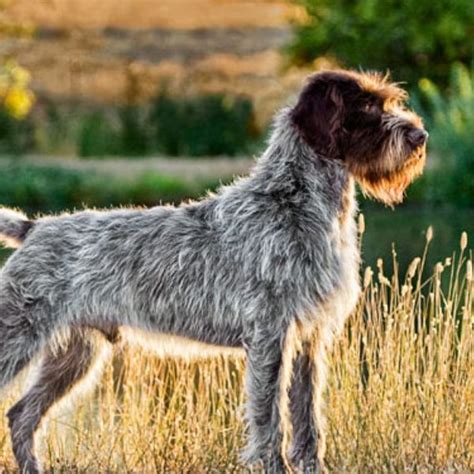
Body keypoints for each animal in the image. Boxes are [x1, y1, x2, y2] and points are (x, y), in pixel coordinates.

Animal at [0, 70, 428, 474]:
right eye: (368, 106)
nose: (420, 135)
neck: (295, 201)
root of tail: (34, 228)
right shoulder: (270, 335)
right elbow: (270, 419)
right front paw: (273, 465)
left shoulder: (308, 337)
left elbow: (308, 422)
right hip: (19, 337)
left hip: (75, 354)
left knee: (21, 415)